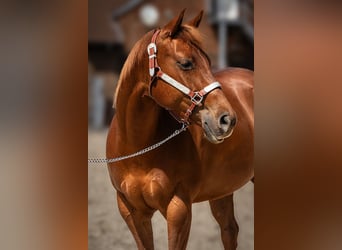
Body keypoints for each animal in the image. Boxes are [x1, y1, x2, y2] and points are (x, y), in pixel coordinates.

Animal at [107, 10, 254, 250]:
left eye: (208, 62)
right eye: (186, 63)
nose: (227, 119)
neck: (137, 148)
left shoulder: (179, 209)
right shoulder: (131, 211)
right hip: (221, 190)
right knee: (229, 230)